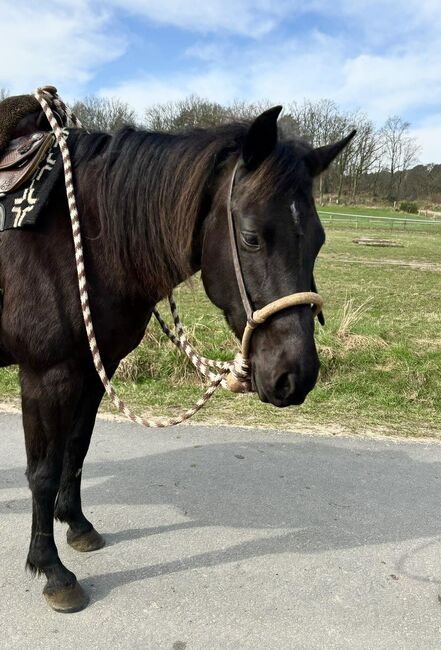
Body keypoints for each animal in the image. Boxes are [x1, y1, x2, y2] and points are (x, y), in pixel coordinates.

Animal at [0, 104, 352, 612]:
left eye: (319, 240)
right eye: (251, 238)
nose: (295, 376)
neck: (72, 235)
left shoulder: (93, 368)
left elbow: (76, 449)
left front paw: (78, 525)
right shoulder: (45, 375)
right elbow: (43, 471)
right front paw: (51, 570)